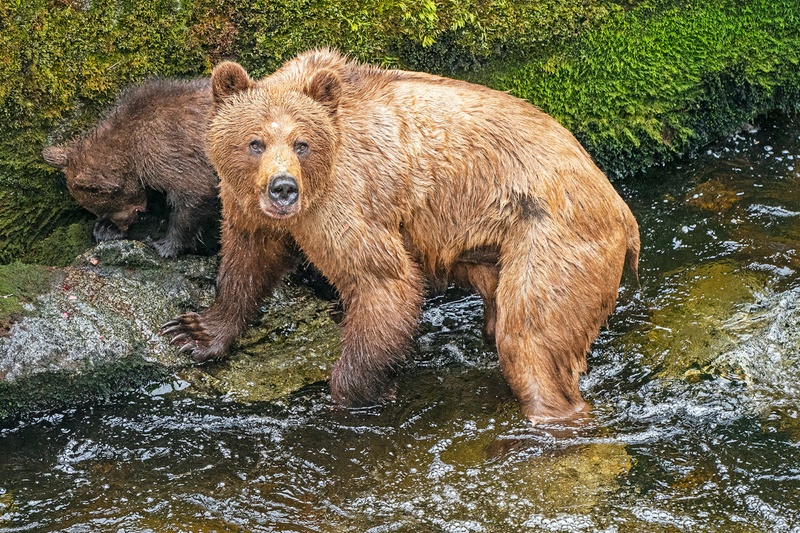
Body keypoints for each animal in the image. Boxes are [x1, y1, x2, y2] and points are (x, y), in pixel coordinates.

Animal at [42, 78, 219, 258]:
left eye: (106, 206)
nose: (123, 225)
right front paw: (105, 229)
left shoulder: (165, 151)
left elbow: (194, 192)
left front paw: (163, 245)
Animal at [163, 49, 640, 423]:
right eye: (255, 142)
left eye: (302, 143)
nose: (283, 188)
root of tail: (620, 207)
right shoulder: (246, 205)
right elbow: (247, 258)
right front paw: (193, 331)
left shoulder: (346, 200)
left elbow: (383, 281)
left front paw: (359, 392)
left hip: (554, 232)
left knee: (533, 336)